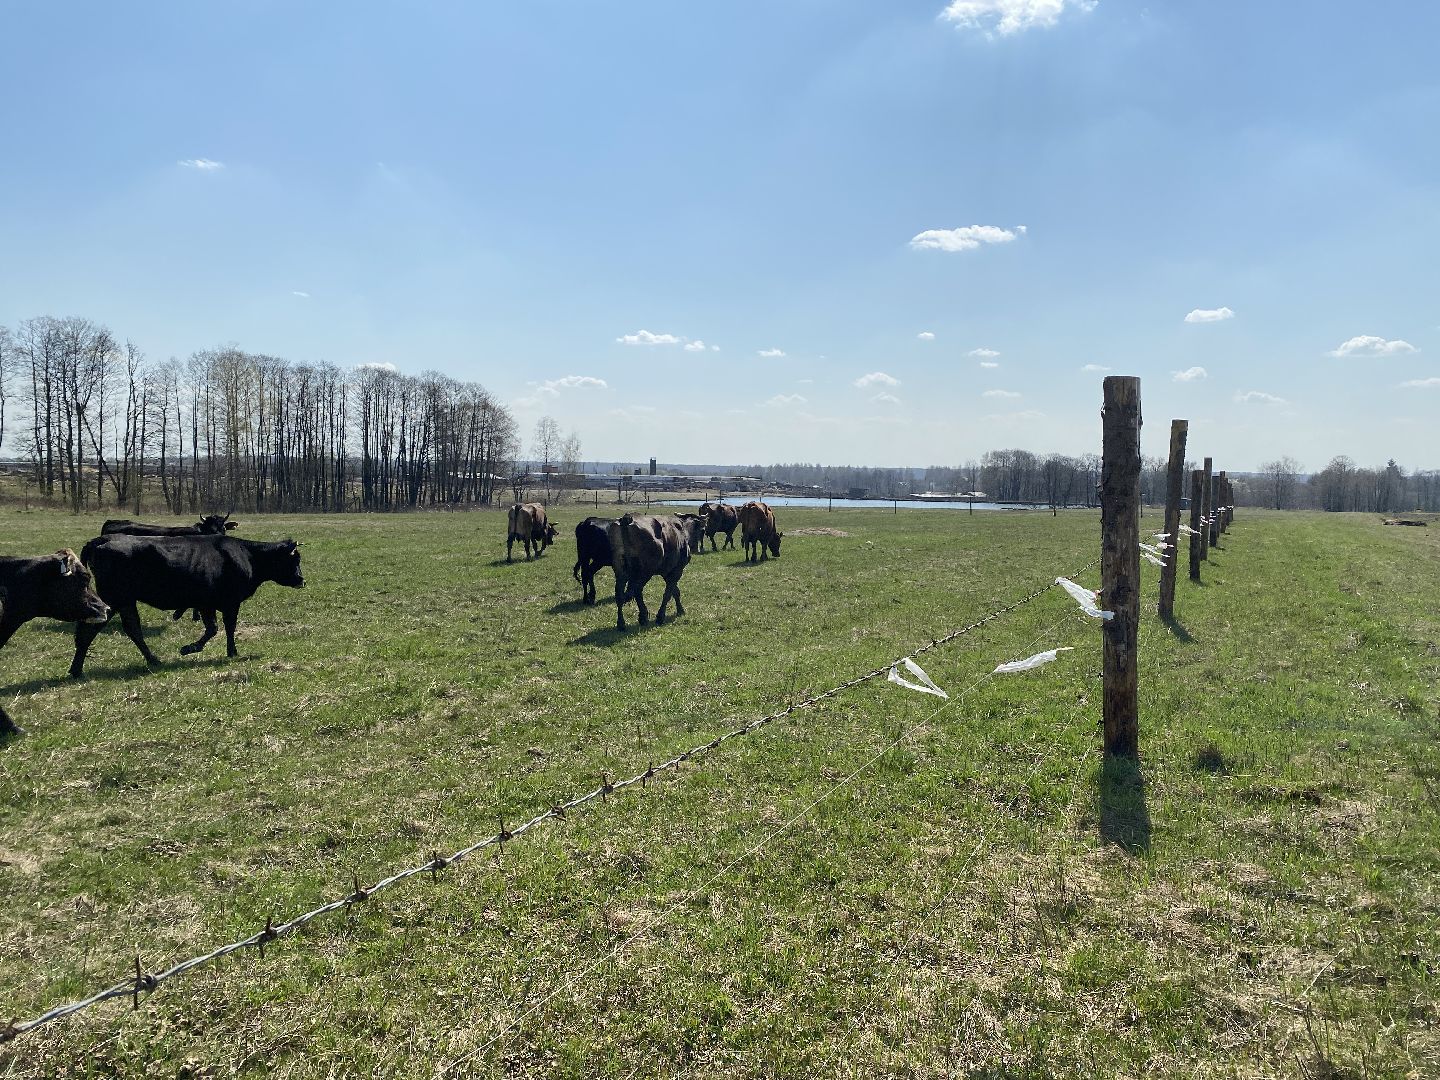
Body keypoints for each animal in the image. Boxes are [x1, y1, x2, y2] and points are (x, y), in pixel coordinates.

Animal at [70, 534, 304, 677]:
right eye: (294, 561)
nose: (302, 580)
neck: (246, 555)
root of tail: (102, 539)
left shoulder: (207, 603)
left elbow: (214, 628)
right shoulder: (228, 602)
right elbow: (225, 627)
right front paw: (224, 651)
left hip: (125, 601)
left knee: (131, 628)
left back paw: (151, 660)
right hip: (115, 599)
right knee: (90, 631)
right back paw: (77, 669)